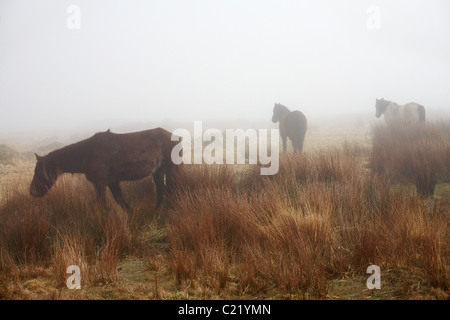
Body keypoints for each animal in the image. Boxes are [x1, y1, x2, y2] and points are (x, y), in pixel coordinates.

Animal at [28, 126, 178, 211]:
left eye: (38, 173)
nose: (32, 192)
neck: (87, 153)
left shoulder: (100, 184)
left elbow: (103, 206)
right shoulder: (112, 182)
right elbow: (120, 201)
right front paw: (132, 215)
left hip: (171, 169)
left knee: (171, 190)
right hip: (158, 171)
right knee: (161, 191)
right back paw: (155, 213)